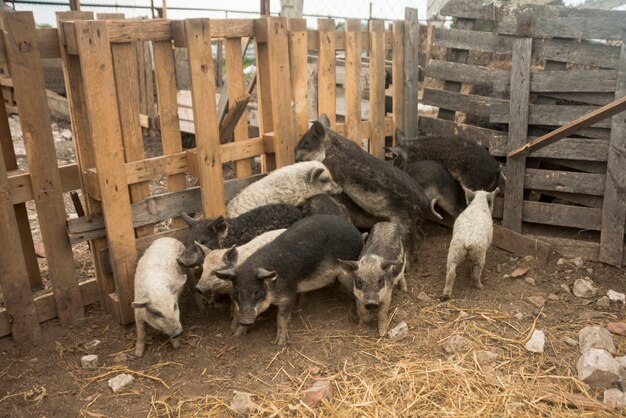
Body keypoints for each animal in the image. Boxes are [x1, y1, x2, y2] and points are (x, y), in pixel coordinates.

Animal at [213, 214, 360, 344]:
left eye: (256, 292)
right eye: (236, 293)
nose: (244, 320)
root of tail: (355, 230)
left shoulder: (288, 295)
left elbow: (281, 317)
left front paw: (280, 343)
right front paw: (237, 335)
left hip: (346, 270)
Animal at [294, 113, 436, 264]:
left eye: (307, 142)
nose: (294, 153)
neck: (330, 149)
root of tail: (425, 203)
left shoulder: (335, 173)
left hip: (404, 221)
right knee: (420, 235)